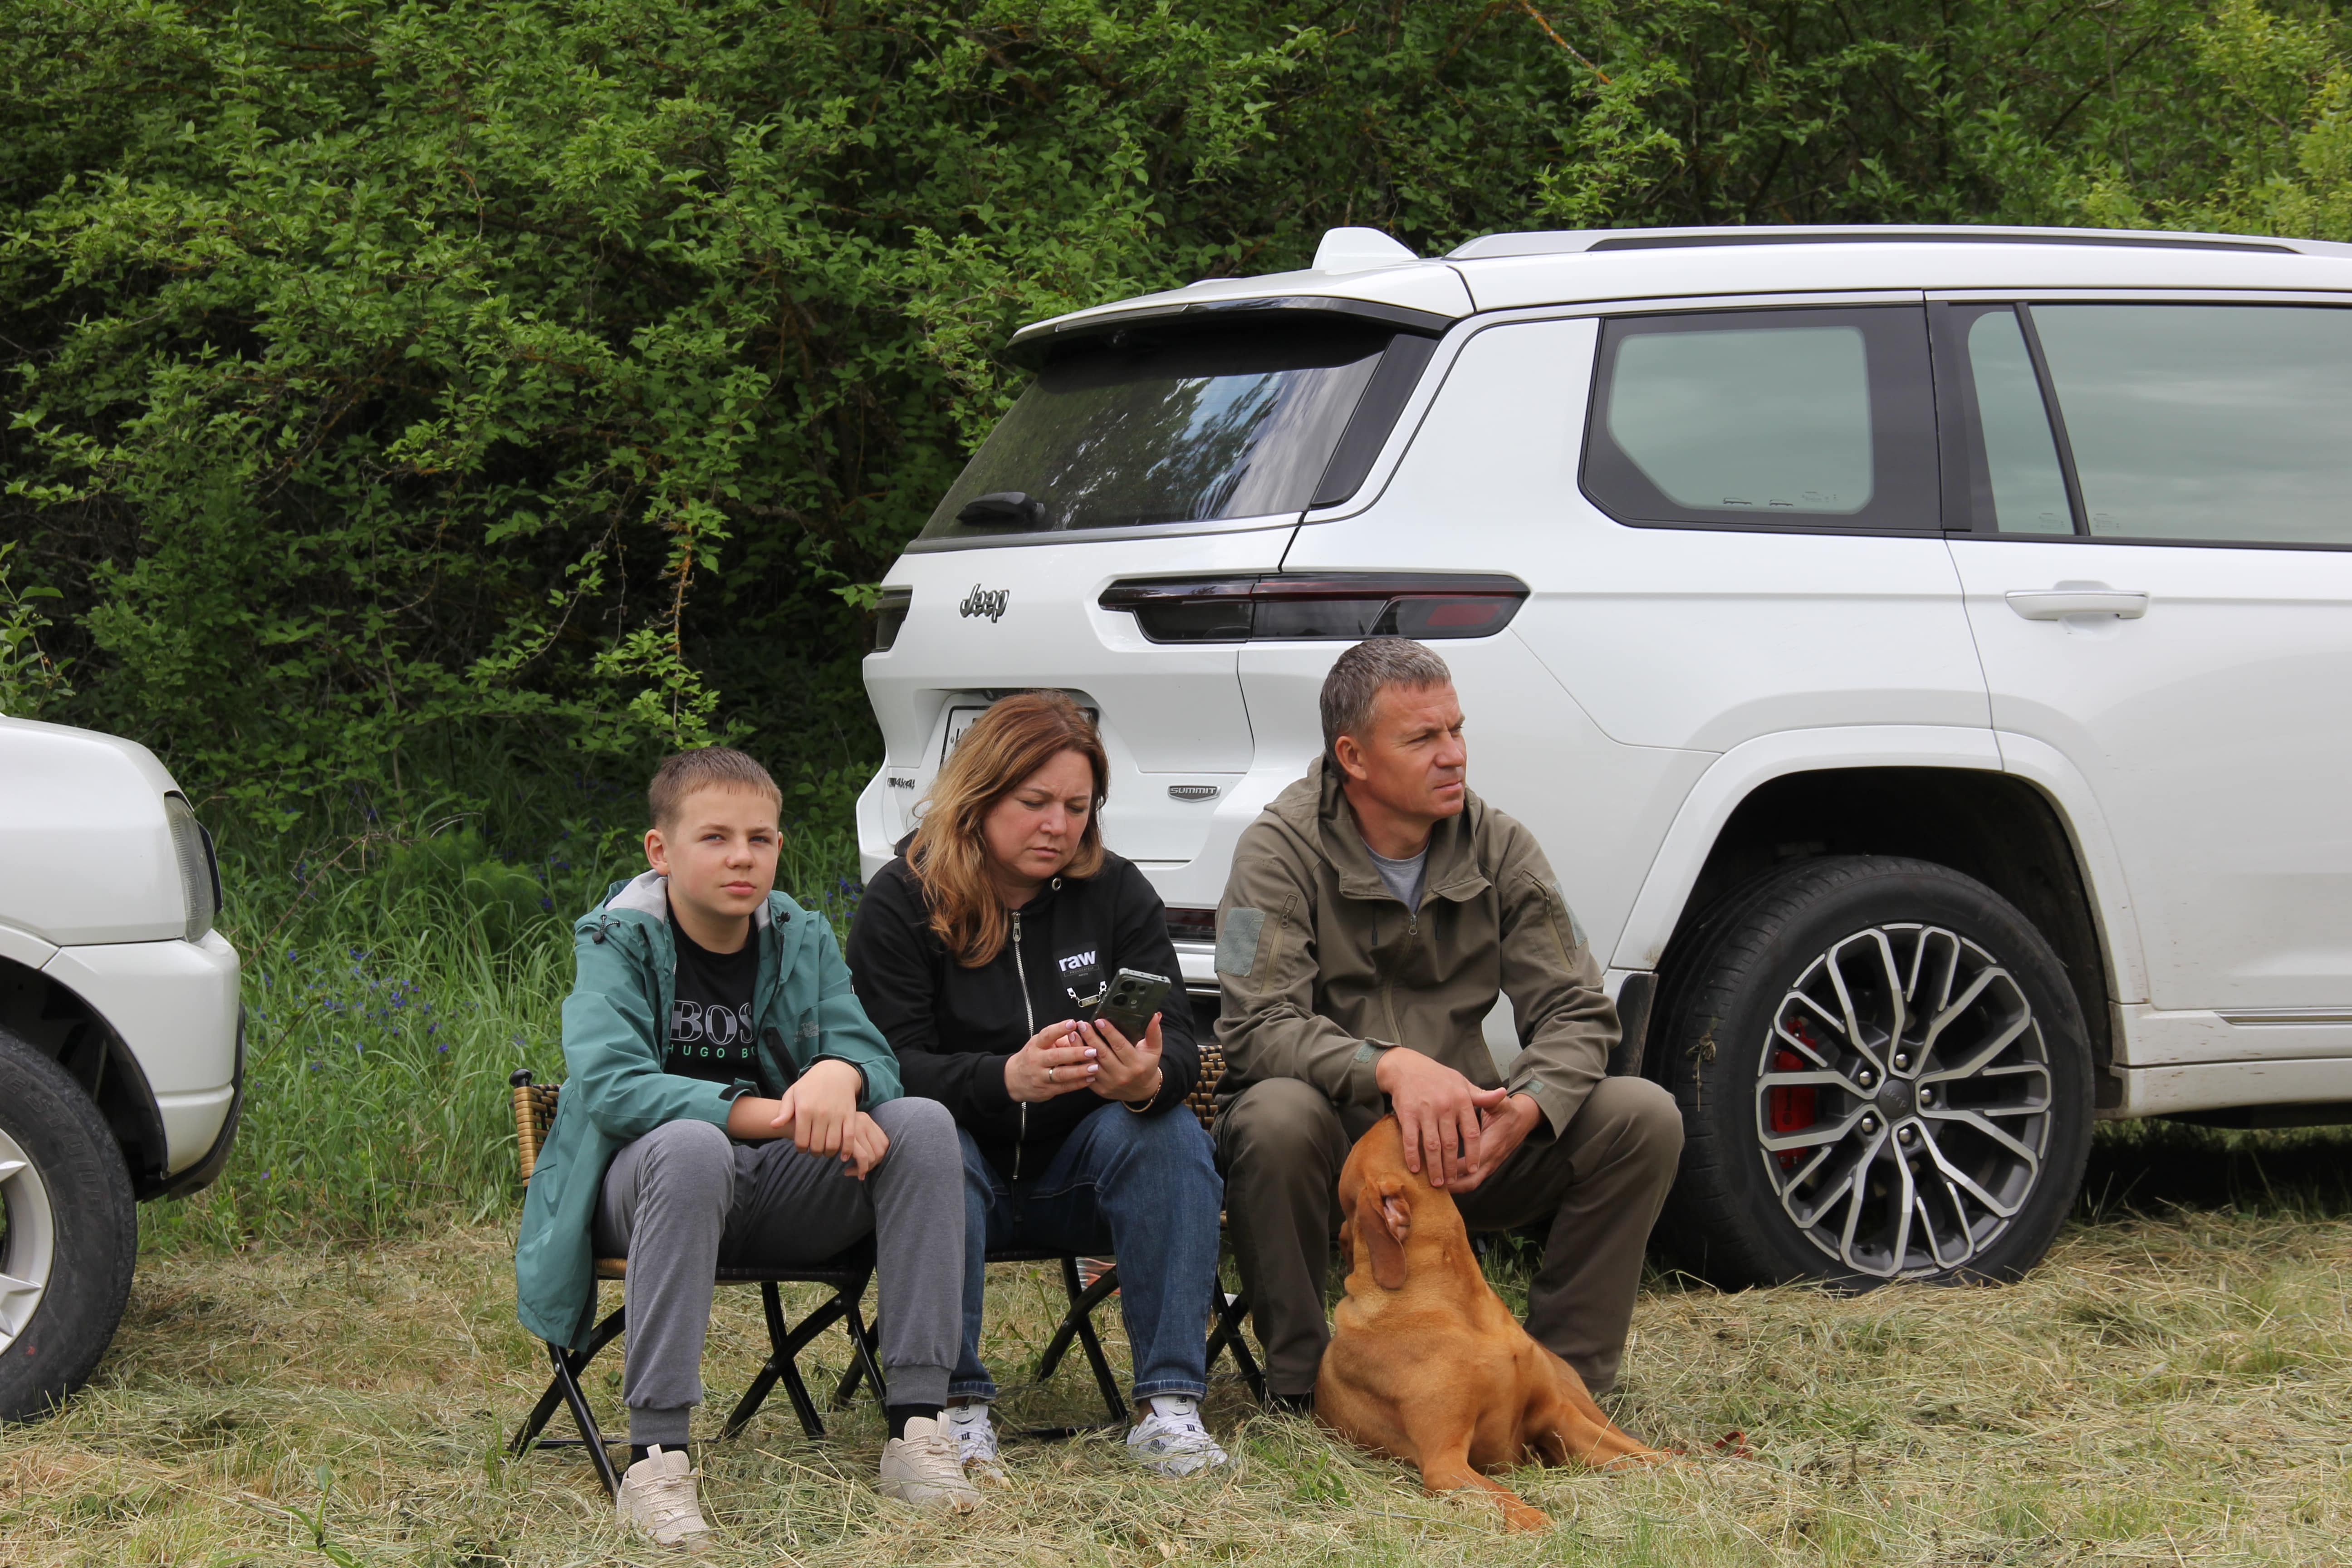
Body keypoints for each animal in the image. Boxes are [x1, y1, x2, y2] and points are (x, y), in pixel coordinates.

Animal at [1315, 1114, 1662, 1530]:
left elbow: (1638, 1457)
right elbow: (1505, 1497)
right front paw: (1542, 1524)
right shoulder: (1444, 1462)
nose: (1391, 1107)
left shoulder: (1558, 1415)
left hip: (1577, 1399)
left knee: (1634, 1442)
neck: (1465, 1310)